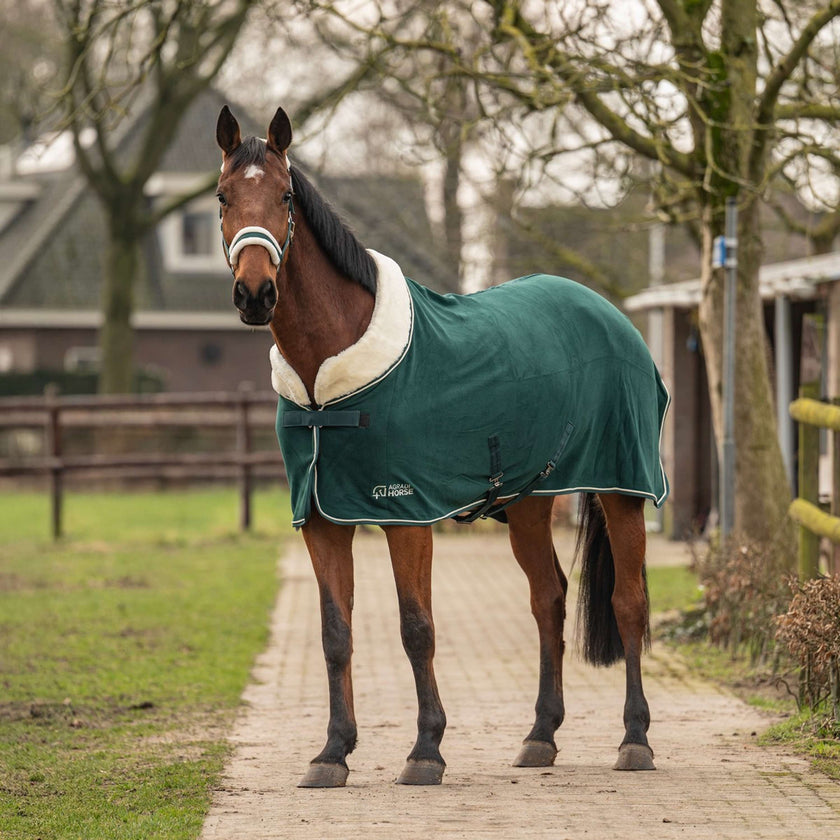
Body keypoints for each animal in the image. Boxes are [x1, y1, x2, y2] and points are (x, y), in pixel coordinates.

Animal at [215, 104, 670, 788]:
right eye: (222, 197)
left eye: (286, 196)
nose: (254, 293)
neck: (328, 382)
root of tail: (612, 315)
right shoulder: (321, 518)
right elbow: (335, 633)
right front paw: (332, 752)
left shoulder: (405, 513)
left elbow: (416, 628)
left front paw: (425, 749)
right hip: (530, 502)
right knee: (548, 600)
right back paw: (540, 737)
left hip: (622, 489)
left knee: (629, 605)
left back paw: (635, 740)